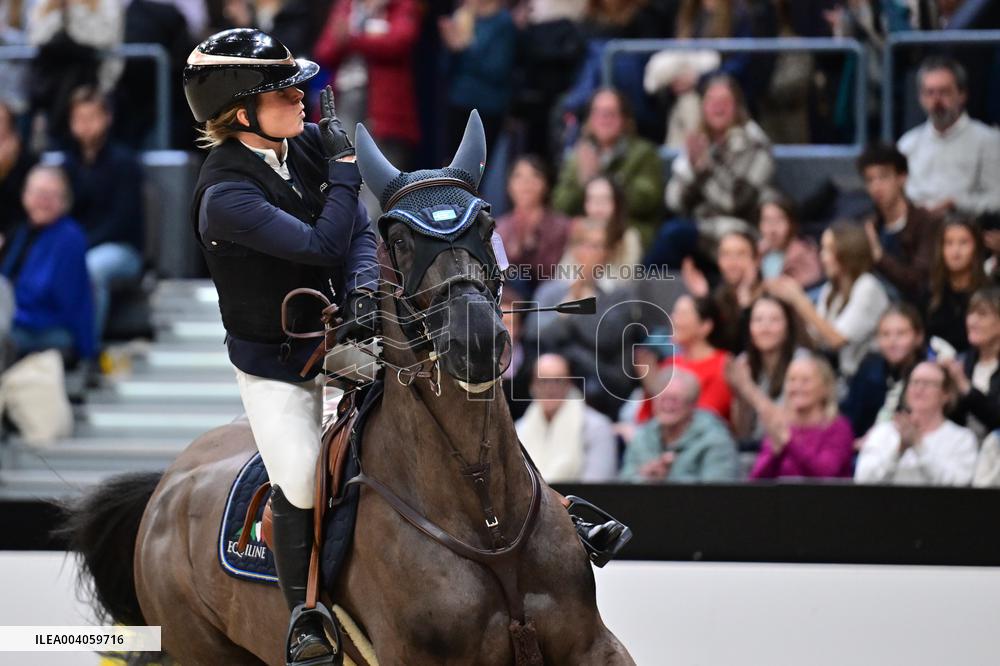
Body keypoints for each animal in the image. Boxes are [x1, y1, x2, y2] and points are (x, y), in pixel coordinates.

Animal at [61, 112, 635, 665]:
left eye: (488, 223)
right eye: (399, 241)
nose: (475, 341)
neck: (483, 508)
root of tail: (165, 487)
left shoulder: (594, 645)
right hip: (203, 651)